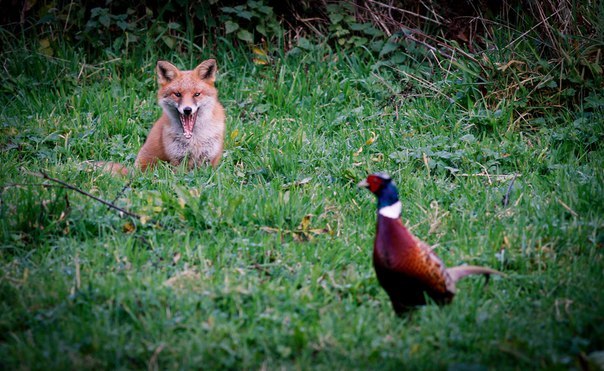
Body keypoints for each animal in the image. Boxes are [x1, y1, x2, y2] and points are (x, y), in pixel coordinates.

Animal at [94, 59, 226, 176]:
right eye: (178, 94)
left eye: (197, 94)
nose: (187, 110)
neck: (195, 139)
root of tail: (133, 172)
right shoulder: (178, 159)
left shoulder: (209, 158)